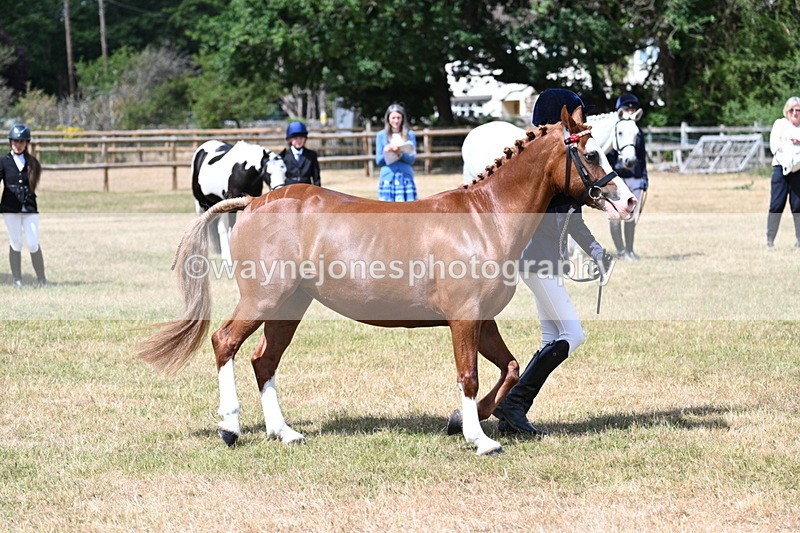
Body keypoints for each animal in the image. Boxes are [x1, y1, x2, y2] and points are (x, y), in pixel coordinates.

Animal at [139, 106, 637, 456]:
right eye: (591, 153)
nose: (629, 201)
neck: (485, 217)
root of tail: (255, 202)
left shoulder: (483, 320)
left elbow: (510, 368)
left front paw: (463, 420)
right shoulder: (464, 319)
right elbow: (470, 375)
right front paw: (479, 438)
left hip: (290, 308)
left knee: (264, 361)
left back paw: (284, 432)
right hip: (263, 300)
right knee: (225, 342)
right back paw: (230, 427)